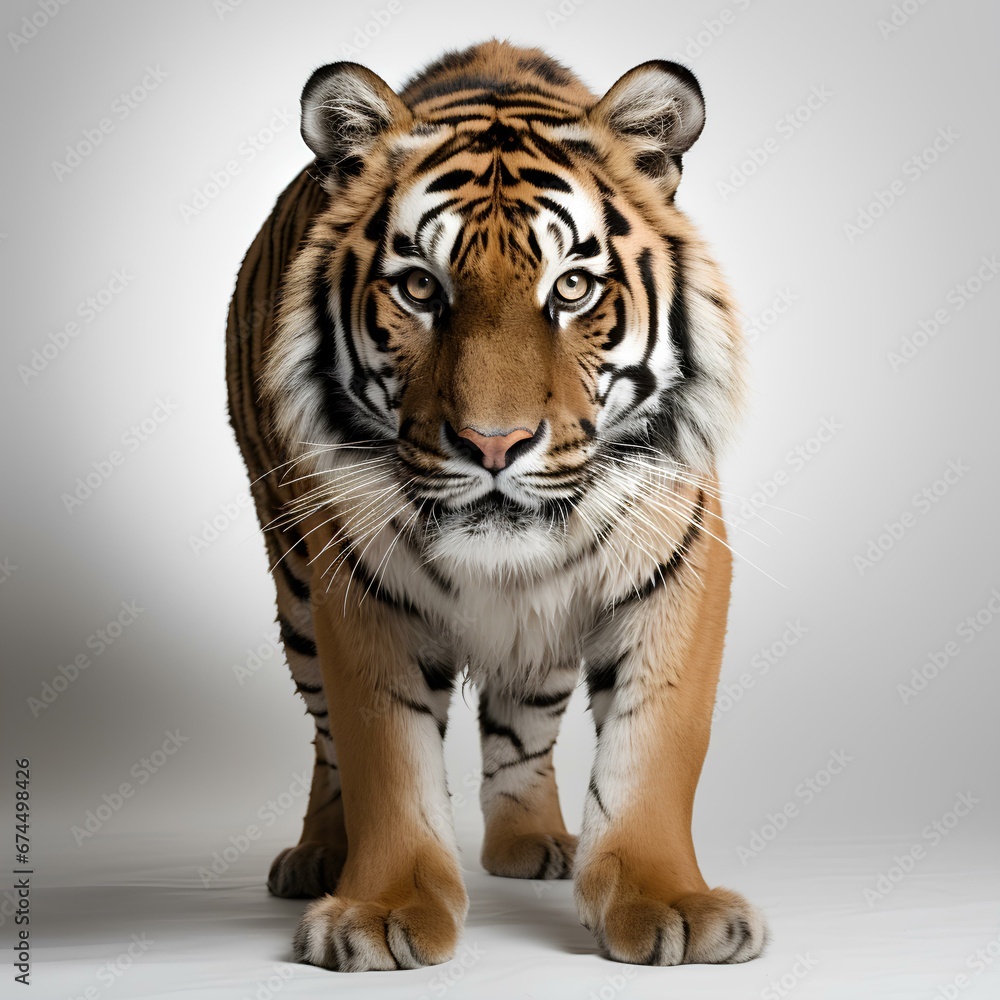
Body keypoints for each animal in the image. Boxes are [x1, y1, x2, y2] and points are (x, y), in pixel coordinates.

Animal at [225, 39, 767, 971]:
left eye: (574, 288)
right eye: (419, 289)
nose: (492, 444)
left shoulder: (680, 561)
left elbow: (657, 747)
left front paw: (669, 902)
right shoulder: (355, 586)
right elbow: (382, 756)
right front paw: (381, 911)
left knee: (525, 720)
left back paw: (529, 842)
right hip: (293, 580)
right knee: (326, 735)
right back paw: (319, 855)